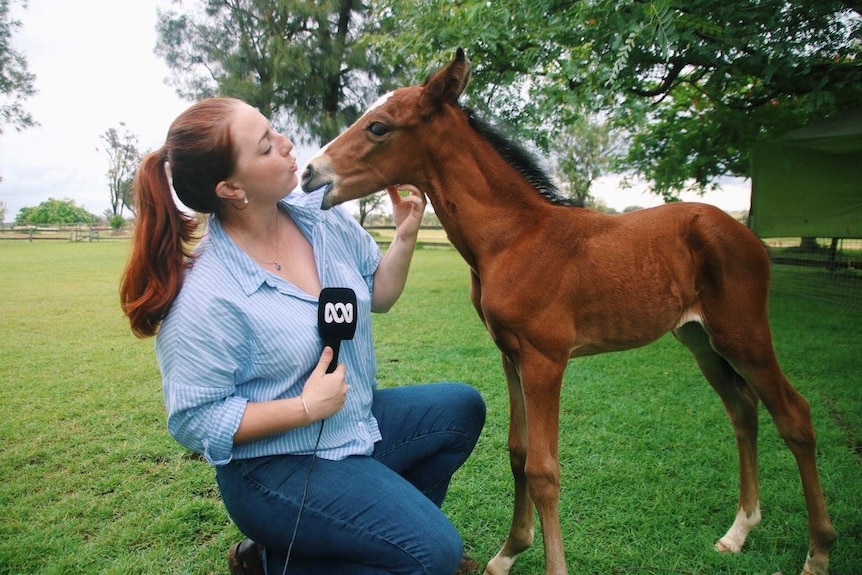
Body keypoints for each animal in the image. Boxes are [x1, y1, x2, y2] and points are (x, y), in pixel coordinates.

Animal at [302, 50, 836, 575]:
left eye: (379, 126)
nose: (310, 172)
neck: (513, 238)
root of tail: (745, 234)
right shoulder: (510, 355)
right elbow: (518, 452)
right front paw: (508, 553)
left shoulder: (546, 359)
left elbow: (543, 468)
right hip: (700, 339)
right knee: (743, 410)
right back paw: (739, 530)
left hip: (742, 334)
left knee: (794, 415)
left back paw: (818, 552)